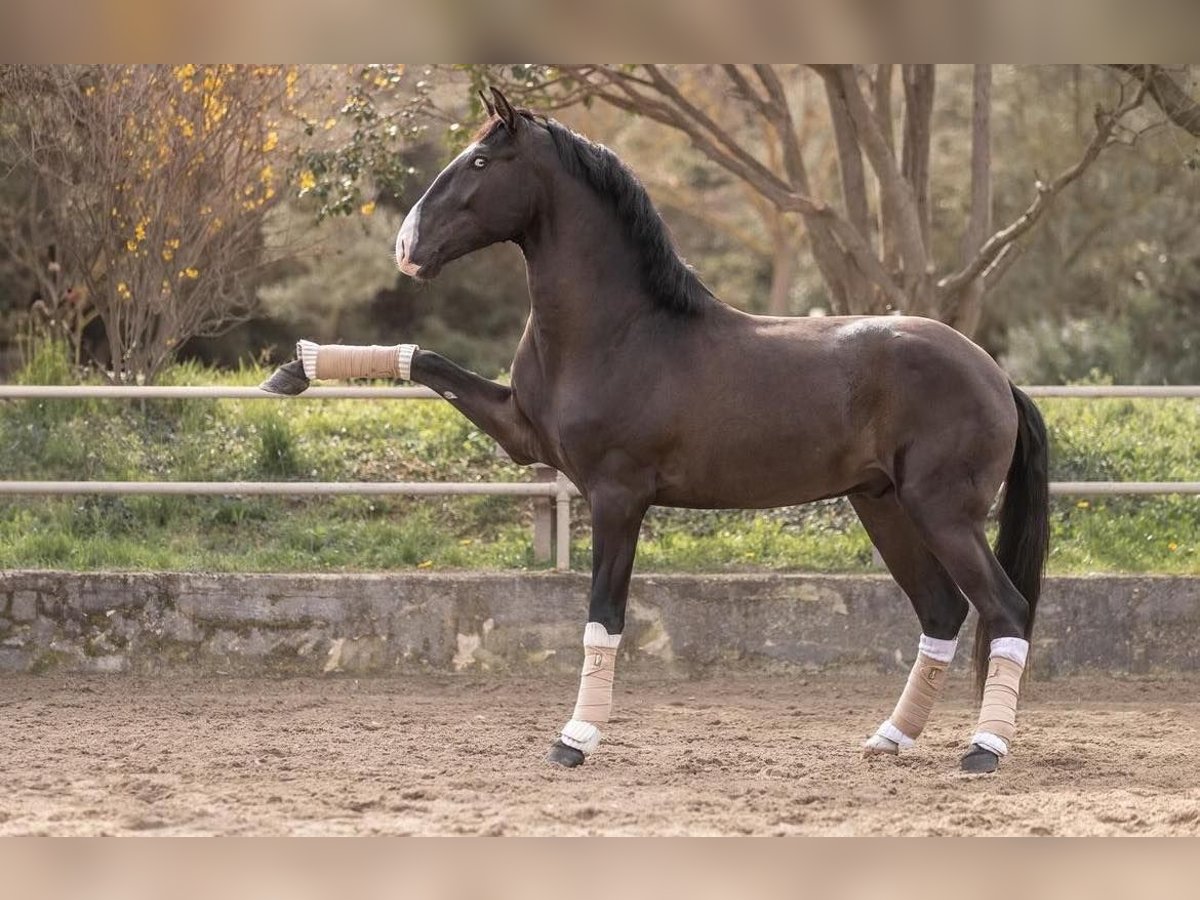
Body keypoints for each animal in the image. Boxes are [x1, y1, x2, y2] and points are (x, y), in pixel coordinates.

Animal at [386, 86, 1051, 777]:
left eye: (481, 161)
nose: (406, 246)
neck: (620, 331)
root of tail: (996, 375)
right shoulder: (524, 438)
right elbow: (429, 364)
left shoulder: (617, 497)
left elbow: (604, 616)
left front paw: (574, 739)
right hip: (884, 507)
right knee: (943, 610)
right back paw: (892, 736)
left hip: (942, 513)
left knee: (1005, 608)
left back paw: (984, 749)